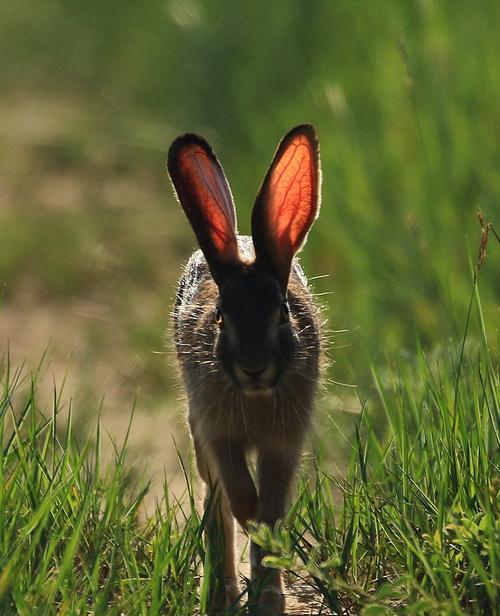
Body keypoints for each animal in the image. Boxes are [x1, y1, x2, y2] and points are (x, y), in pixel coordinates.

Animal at [168, 125, 322, 616]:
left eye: (282, 313)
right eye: (221, 318)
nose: (254, 369)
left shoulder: (284, 443)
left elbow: (272, 508)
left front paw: (270, 589)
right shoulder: (218, 431)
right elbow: (237, 495)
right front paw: (250, 514)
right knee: (214, 503)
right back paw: (220, 594)